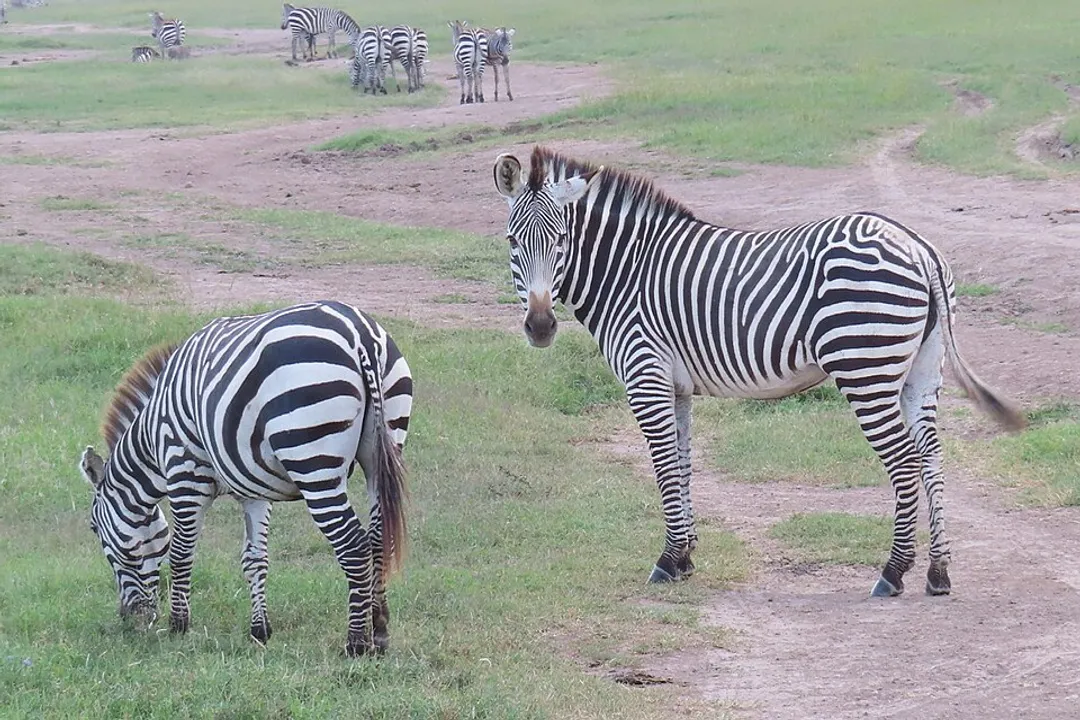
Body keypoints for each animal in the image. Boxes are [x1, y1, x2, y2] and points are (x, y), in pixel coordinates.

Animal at [79, 301, 413, 657]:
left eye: (94, 529)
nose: (130, 619)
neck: (152, 440)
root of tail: (359, 334)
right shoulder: (254, 490)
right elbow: (255, 558)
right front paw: (260, 630)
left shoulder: (184, 474)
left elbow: (181, 552)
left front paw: (179, 625)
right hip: (381, 451)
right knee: (378, 540)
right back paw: (379, 631)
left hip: (313, 462)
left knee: (354, 545)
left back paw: (356, 642)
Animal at [492, 146, 1026, 598]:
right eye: (513, 241)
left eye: (561, 240)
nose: (540, 327)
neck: (627, 272)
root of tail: (918, 247)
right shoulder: (676, 386)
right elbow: (683, 463)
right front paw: (686, 557)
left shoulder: (646, 376)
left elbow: (663, 467)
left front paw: (667, 561)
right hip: (922, 371)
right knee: (932, 457)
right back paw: (938, 572)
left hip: (865, 370)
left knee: (905, 461)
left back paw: (892, 573)